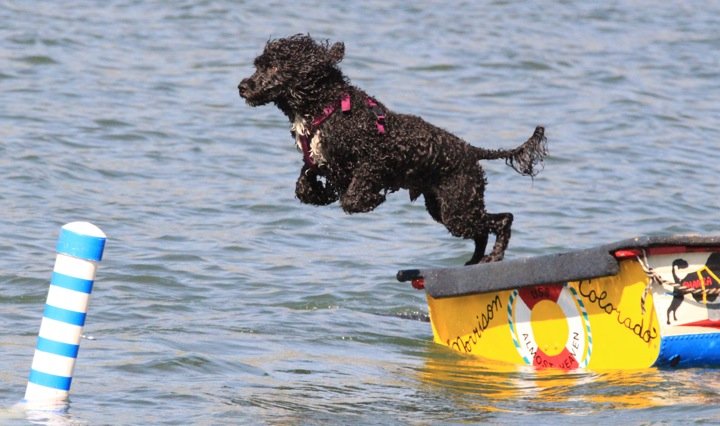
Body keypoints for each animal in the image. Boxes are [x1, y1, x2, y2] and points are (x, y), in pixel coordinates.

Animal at [239, 35, 548, 264]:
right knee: (483, 231)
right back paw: (474, 261)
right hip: (445, 207)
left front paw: (370, 200)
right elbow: (304, 184)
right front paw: (321, 194)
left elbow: (352, 196)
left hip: (458, 206)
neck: (326, 106)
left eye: (273, 67)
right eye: (259, 64)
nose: (242, 86)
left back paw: (494, 257)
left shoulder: (373, 160)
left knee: (503, 220)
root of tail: (472, 150)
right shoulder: (319, 161)